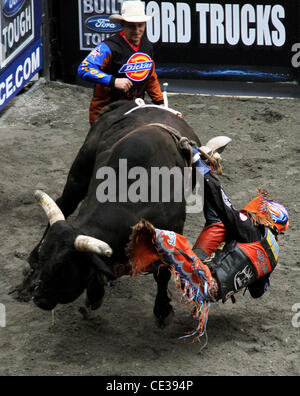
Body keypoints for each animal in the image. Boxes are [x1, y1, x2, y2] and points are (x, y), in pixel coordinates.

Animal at [24, 100, 204, 326]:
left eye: (60, 268)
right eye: (43, 256)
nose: (38, 296)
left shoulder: (171, 233)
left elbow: (162, 273)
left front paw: (162, 310)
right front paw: (94, 293)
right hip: (80, 172)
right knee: (65, 203)